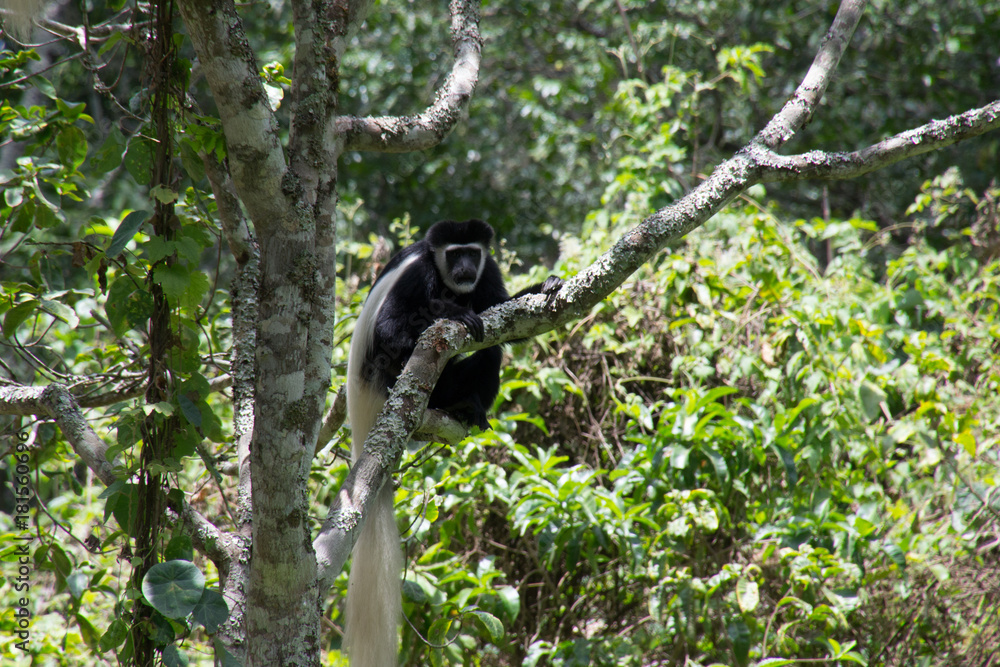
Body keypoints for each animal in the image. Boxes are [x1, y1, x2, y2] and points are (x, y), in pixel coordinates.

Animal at [344, 218, 562, 666]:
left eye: (472, 253)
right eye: (454, 253)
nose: (464, 269)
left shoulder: (488, 269)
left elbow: (502, 309)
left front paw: (547, 284)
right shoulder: (417, 276)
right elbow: (390, 327)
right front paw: (455, 313)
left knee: (491, 354)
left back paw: (468, 410)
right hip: (390, 377)